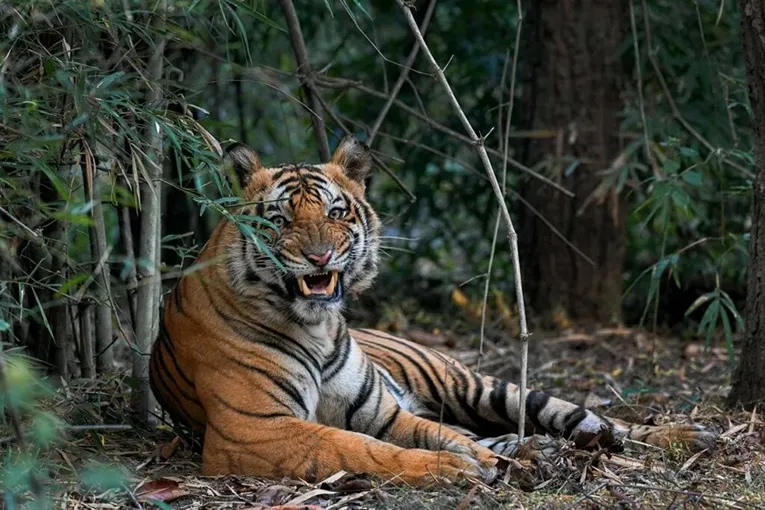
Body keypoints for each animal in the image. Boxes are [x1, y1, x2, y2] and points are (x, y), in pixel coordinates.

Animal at [149, 136, 716, 486]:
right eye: (280, 220)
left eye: (336, 212)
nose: (320, 256)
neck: (317, 326)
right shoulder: (255, 429)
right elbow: (356, 447)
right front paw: (456, 469)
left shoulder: (381, 411)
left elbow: (436, 434)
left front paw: (481, 462)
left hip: (475, 385)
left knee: (591, 419)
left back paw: (686, 436)